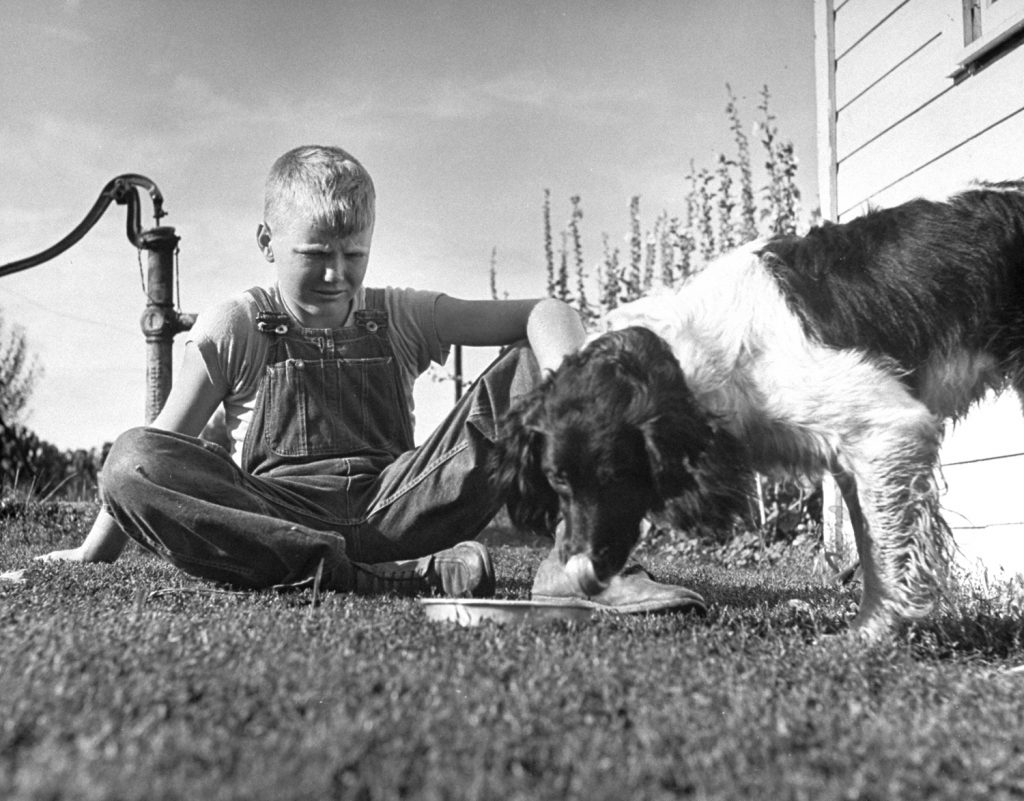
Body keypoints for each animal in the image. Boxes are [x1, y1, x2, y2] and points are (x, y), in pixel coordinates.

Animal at [495, 182, 1024, 639]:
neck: (703, 355)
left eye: (618, 476)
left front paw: (873, 634)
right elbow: (870, 544)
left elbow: (886, 552)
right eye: (558, 480)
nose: (582, 577)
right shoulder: (854, 454)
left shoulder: (889, 429)